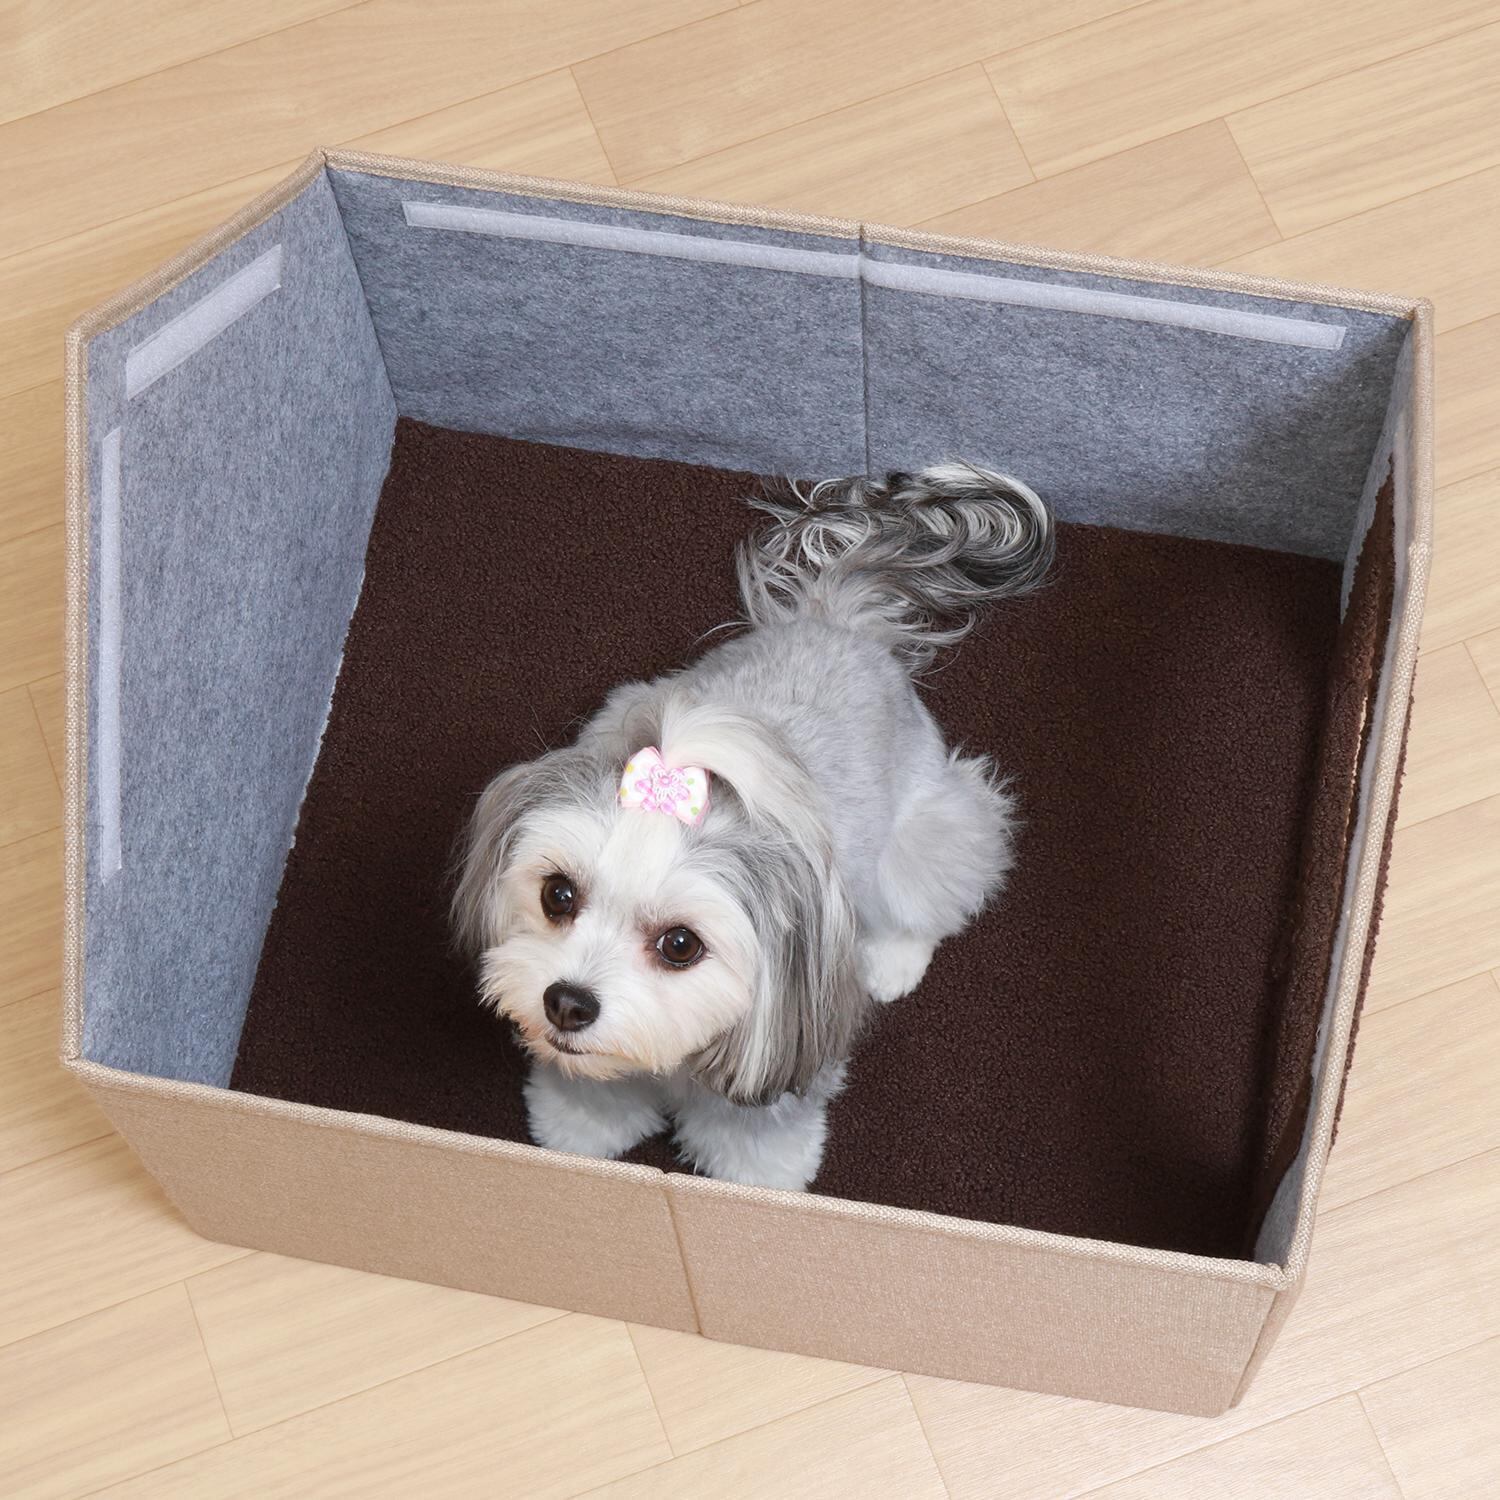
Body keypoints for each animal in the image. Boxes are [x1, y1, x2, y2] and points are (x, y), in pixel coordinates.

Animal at [452, 463, 1054, 1190]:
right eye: (557, 895)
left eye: (680, 945)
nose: (567, 1002)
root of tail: (832, 619)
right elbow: (596, 1090)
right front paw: (579, 1128)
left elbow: (754, 1136)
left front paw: (764, 1181)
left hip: (930, 831)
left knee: (934, 889)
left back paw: (894, 961)